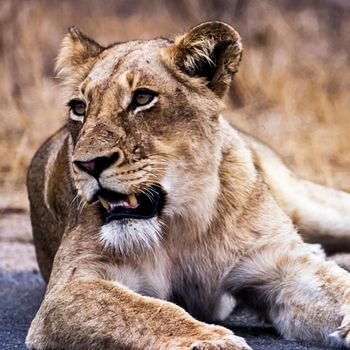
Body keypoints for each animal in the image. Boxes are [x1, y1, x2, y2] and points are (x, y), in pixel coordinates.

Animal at [25, 22, 350, 350]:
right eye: (79, 108)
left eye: (142, 98)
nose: (88, 164)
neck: (181, 222)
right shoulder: (70, 287)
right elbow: (146, 310)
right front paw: (213, 341)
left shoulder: (283, 266)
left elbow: (335, 284)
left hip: (306, 206)